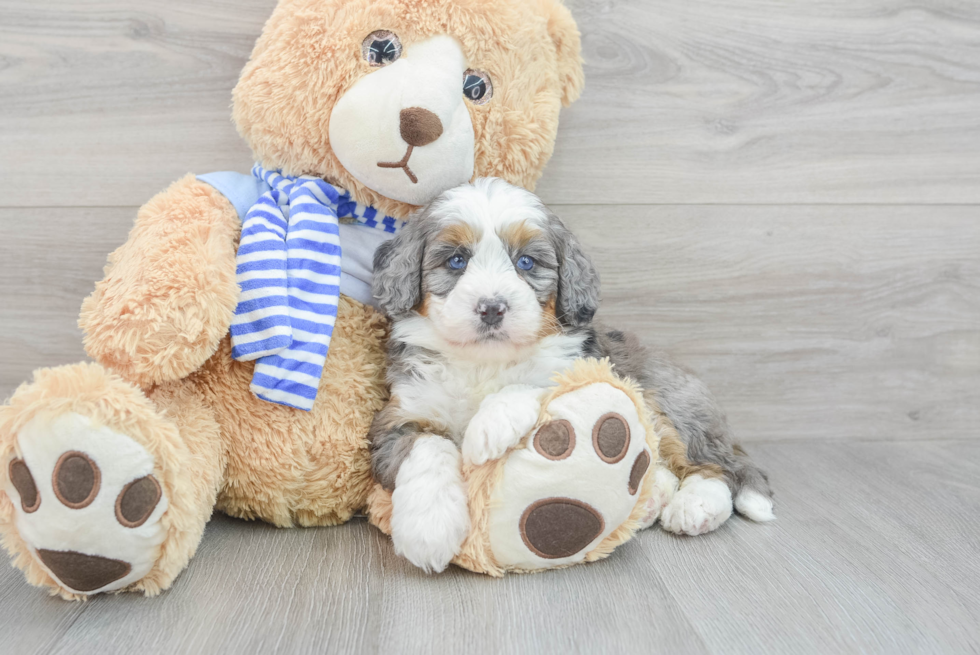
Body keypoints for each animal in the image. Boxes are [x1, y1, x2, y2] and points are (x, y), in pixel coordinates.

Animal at [368, 177, 772, 572]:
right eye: (456, 260)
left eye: (527, 262)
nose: (492, 308)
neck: (485, 361)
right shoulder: (401, 413)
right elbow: (427, 446)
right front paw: (429, 529)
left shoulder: (586, 367)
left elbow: (537, 382)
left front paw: (490, 425)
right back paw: (651, 498)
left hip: (670, 401)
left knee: (717, 467)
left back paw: (696, 506)